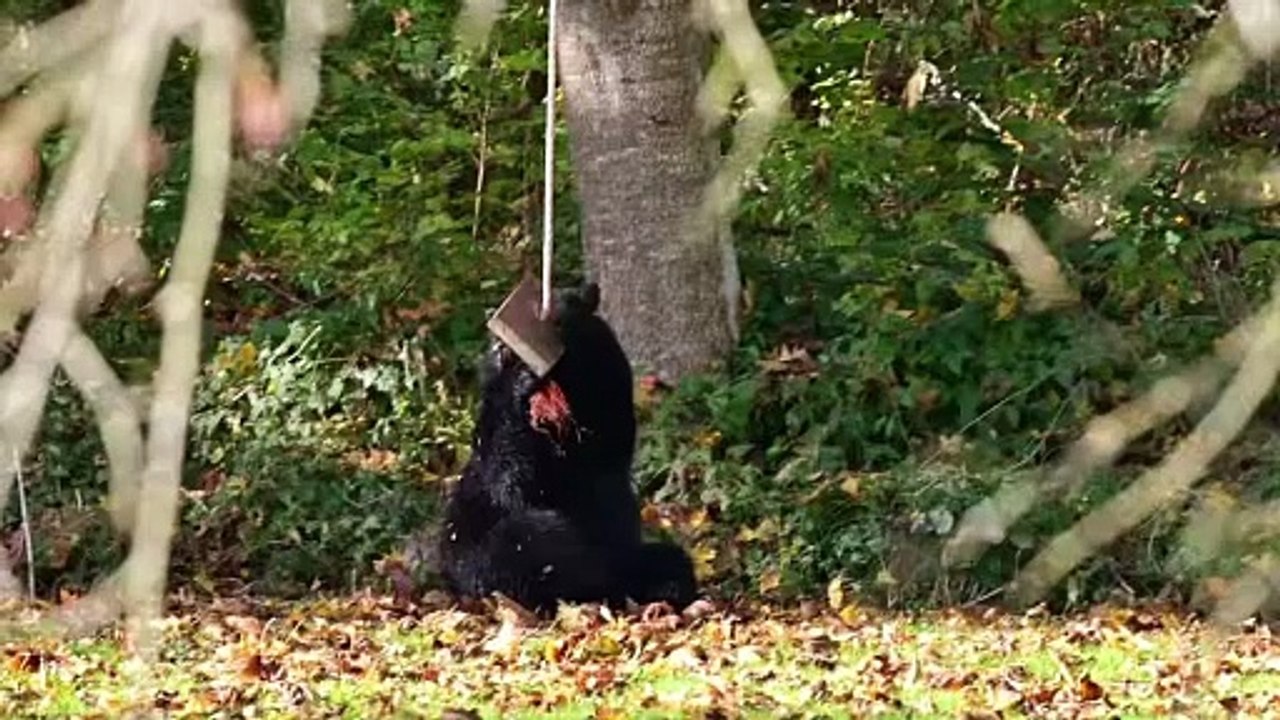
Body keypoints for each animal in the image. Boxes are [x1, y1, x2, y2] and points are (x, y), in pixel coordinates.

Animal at [436, 282, 697, 614]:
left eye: (569, 303)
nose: (554, 316)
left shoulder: (602, 392)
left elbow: (608, 437)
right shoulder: (497, 428)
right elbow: (510, 476)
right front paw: (521, 377)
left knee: (669, 559)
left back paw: (662, 585)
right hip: (478, 550)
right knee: (528, 543)